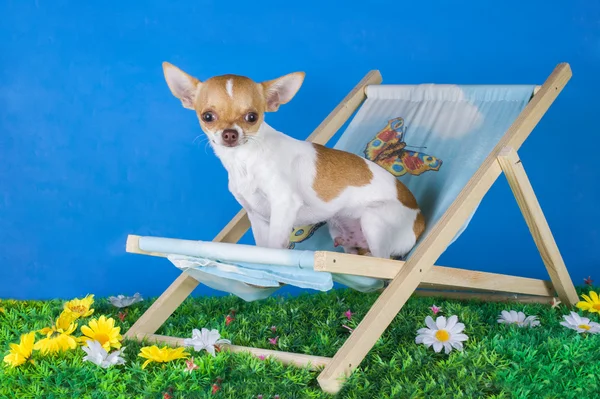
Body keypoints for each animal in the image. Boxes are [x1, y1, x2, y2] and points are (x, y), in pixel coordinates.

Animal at [163, 62, 426, 260]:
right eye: (208, 116)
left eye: (252, 117)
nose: (230, 134)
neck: (245, 160)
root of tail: (421, 219)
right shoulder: (257, 216)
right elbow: (261, 247)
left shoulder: (284, 204)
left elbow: (273, 245)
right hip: (341, 229)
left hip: (374, 220)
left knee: (383, 264)